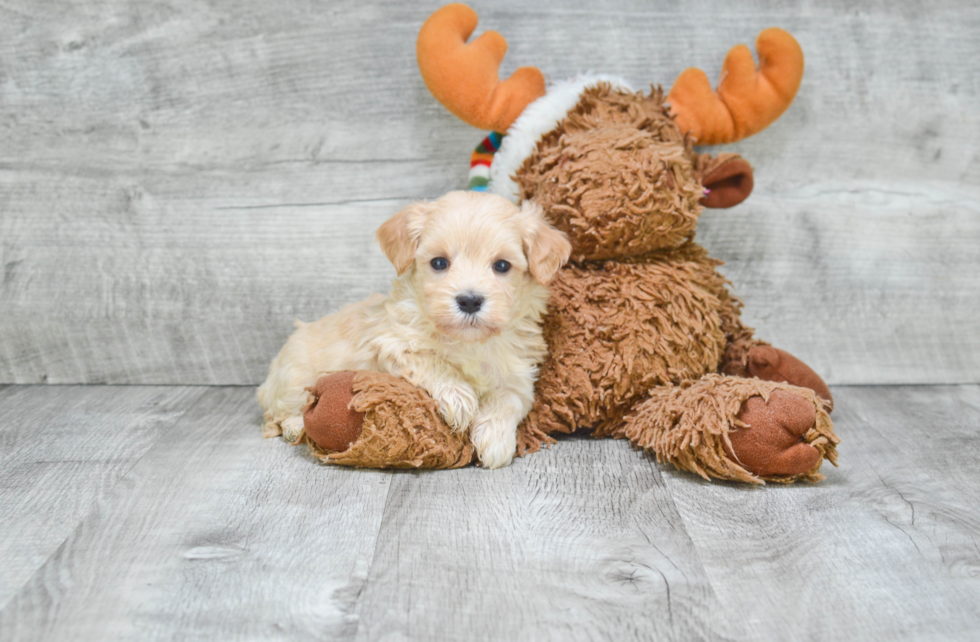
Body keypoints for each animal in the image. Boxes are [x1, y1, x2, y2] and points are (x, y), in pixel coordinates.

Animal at [256, 189, 572, 464]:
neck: (467, 342)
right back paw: (296, 426)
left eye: (502, 266)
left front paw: (495, 440)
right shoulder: (391, 343)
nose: (469, 300)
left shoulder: (518, 375)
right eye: (439, 263)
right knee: (279, 412)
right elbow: (431, 362)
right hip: (293, 377)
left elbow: (509, 400)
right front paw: (460, 399)